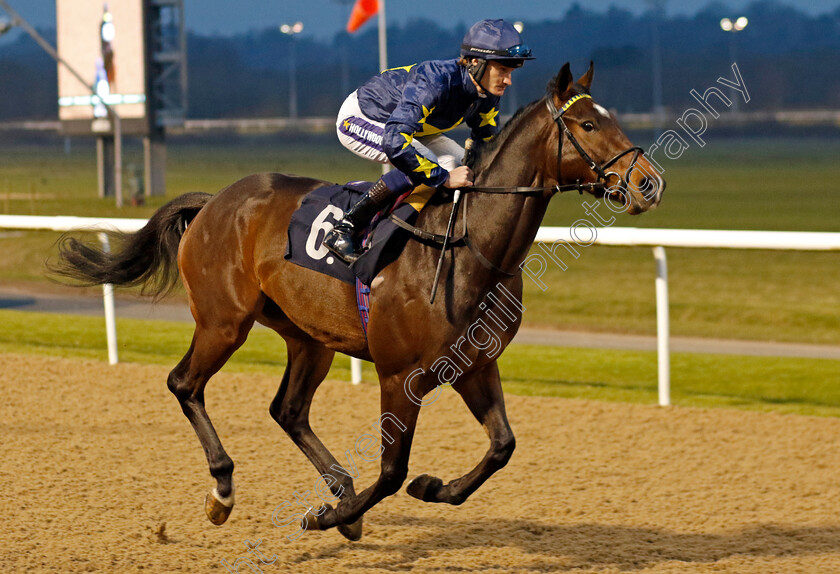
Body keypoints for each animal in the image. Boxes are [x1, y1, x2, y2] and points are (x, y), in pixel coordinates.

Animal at [55, 64, 668, 544]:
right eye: (588, 124)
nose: (649, 182)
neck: (466, 244)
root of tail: (214, 202)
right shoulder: (401, 375)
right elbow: (393, 470)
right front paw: (328, 516)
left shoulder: (475, 364)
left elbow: (501, 446)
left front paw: (428, 488)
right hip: (224, 323)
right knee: (185, 384)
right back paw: (224, 490)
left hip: (309, 337)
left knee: (287, 409)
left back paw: (340, 492)